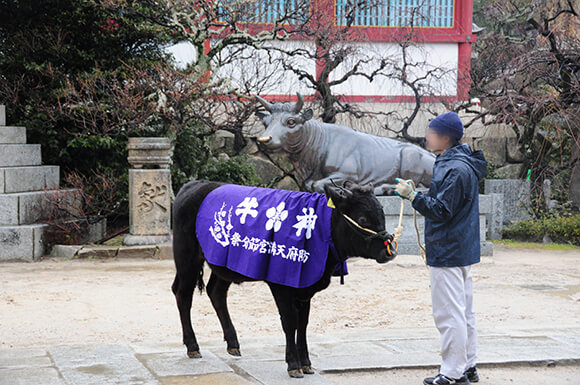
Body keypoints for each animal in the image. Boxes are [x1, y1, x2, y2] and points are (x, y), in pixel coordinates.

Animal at [172, 180, 396, 378]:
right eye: (363, 219)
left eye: (382, 214)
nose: (389, 252)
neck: (319, 228)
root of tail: (196, 184)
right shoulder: (281, 284)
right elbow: (290, 322)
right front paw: (294, 365)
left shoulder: (305, 287)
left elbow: (303, 324)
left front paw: (306, 364)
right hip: (186, 257)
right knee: (183, 295)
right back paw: (193, 346)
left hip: (223, 264)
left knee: (216, 292)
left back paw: (233, 344)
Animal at [255, 93, 436, 195]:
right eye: (265, 122)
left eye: (291, 121)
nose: (264, 140)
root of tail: (433, 155)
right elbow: (309, 184)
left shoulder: (349, 174)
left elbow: (316, 184)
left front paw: (342, 189)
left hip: (410, 157)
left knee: (418, 187)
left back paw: (385, 188)